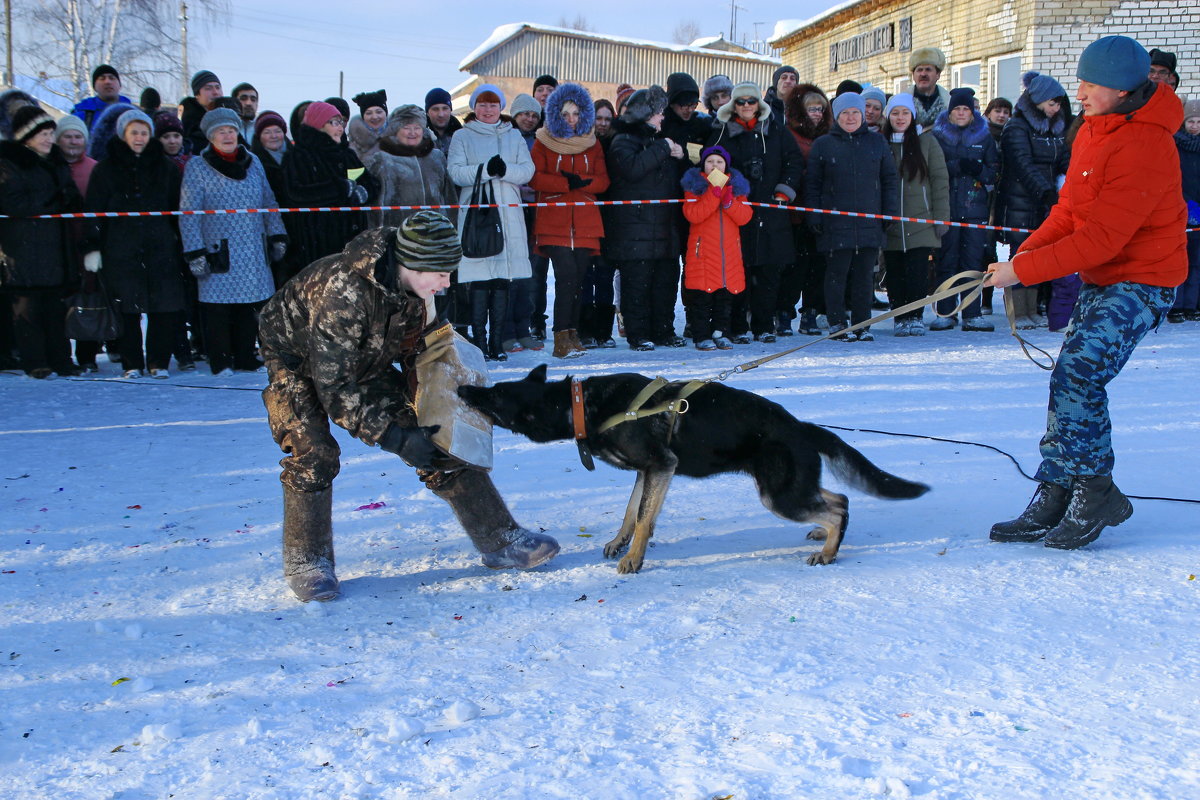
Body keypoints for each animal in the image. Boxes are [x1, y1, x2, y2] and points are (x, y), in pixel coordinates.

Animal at [458, 367, 926, 573]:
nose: (462, 388)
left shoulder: (661, 467)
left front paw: (634, 557)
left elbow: (644, 518)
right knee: (839, 499)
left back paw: (828, 551)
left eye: (494, 397)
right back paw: (822, 536)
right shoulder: (647, 472)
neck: (582, 406)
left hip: (779, 494)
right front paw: (619, 542)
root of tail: (801, 426)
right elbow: (632, 511)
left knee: (836, 508)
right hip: (789, 487)